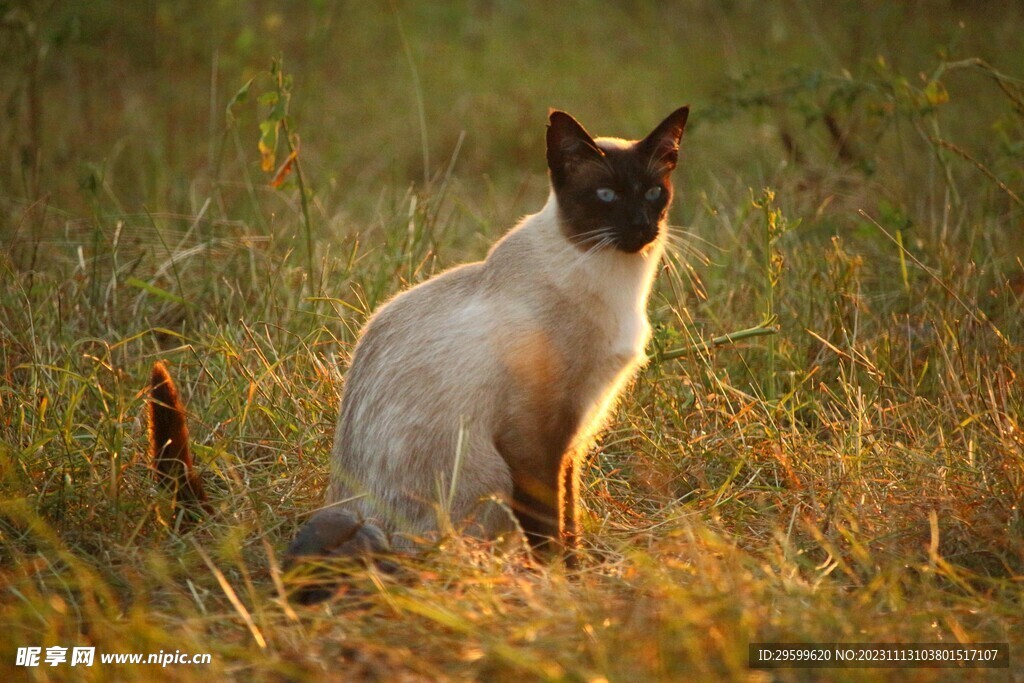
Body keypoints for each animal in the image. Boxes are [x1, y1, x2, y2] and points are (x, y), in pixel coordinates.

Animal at [148, 104, 692, 593]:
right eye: (606, 195)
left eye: (653, 192)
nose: (643, 228)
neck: (614, 281)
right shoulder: (536, 443)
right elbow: (551, 531)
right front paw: (563, 591)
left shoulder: (573, 442)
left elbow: (570, 518)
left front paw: (579, 581)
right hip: (466, 490)